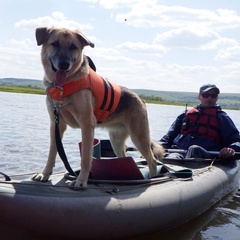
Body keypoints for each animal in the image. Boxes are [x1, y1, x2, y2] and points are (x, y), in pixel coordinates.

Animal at [32, 27, 164, 188]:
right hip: (116, 140)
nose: (64, 64)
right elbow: (52, 153)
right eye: (55, 44)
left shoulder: (87, 124)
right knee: (124, 157)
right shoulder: (56, 125)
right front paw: (45, 174)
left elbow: (86, 158)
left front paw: (81, 181)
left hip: (139, 137)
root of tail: (140, 99)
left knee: (152, 160)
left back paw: (153, 179)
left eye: (73, 47)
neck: (63, 85)